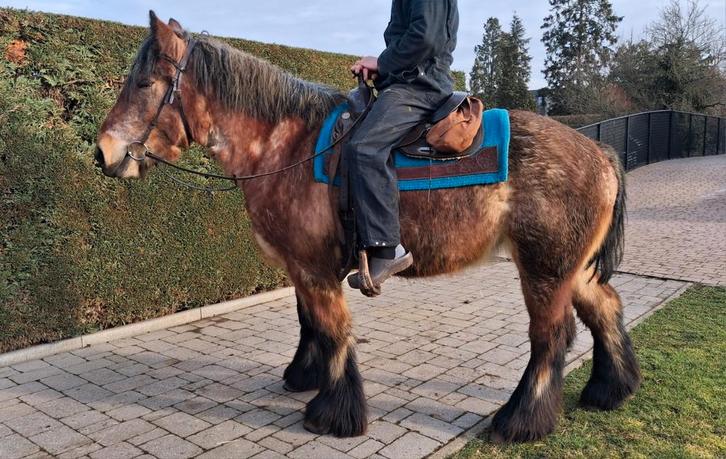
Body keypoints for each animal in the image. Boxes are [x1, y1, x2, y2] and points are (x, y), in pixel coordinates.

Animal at [95, 12, 641, 442]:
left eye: (144, 84)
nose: (102, 153)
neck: (284, 146)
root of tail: (599, 152)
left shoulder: (313, 267)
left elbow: (334, 328)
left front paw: (335, 413)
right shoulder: (304, 265)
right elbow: (310, 322)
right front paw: (305, 375)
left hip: (545, 270)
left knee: (550, 337)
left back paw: (520, 421)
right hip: (573, 269)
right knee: (606, 308)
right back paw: (610, 389)